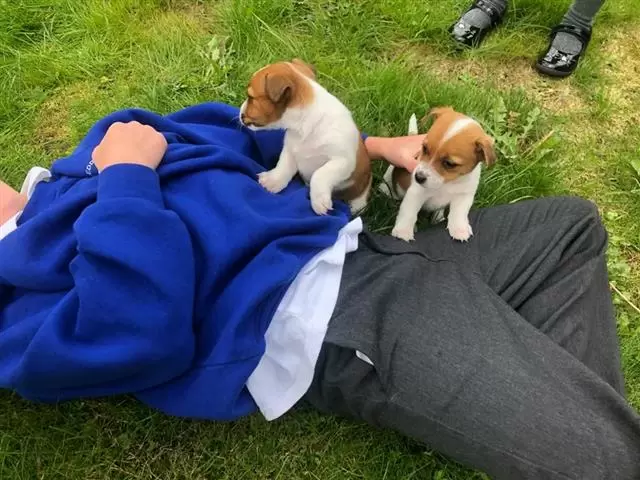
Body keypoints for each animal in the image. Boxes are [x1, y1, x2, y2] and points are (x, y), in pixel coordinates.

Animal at [239, 58, 370, 216]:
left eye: (251, 97)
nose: (240, 112)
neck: (306, 121)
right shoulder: (290, 150)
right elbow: (283, 166)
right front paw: (273, 181)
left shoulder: (342, 161)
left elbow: (319, 174)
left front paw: (319, 201)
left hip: (361, 184)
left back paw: (357, 205)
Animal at [382, 109, 498, 244]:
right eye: (424, 148)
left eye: (449, 163)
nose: (418, 177)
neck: (448, 183)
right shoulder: (416, 193)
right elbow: (409, 212)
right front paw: (403, 231)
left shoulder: (464, 195)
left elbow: (459, 212)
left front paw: (460, 229)